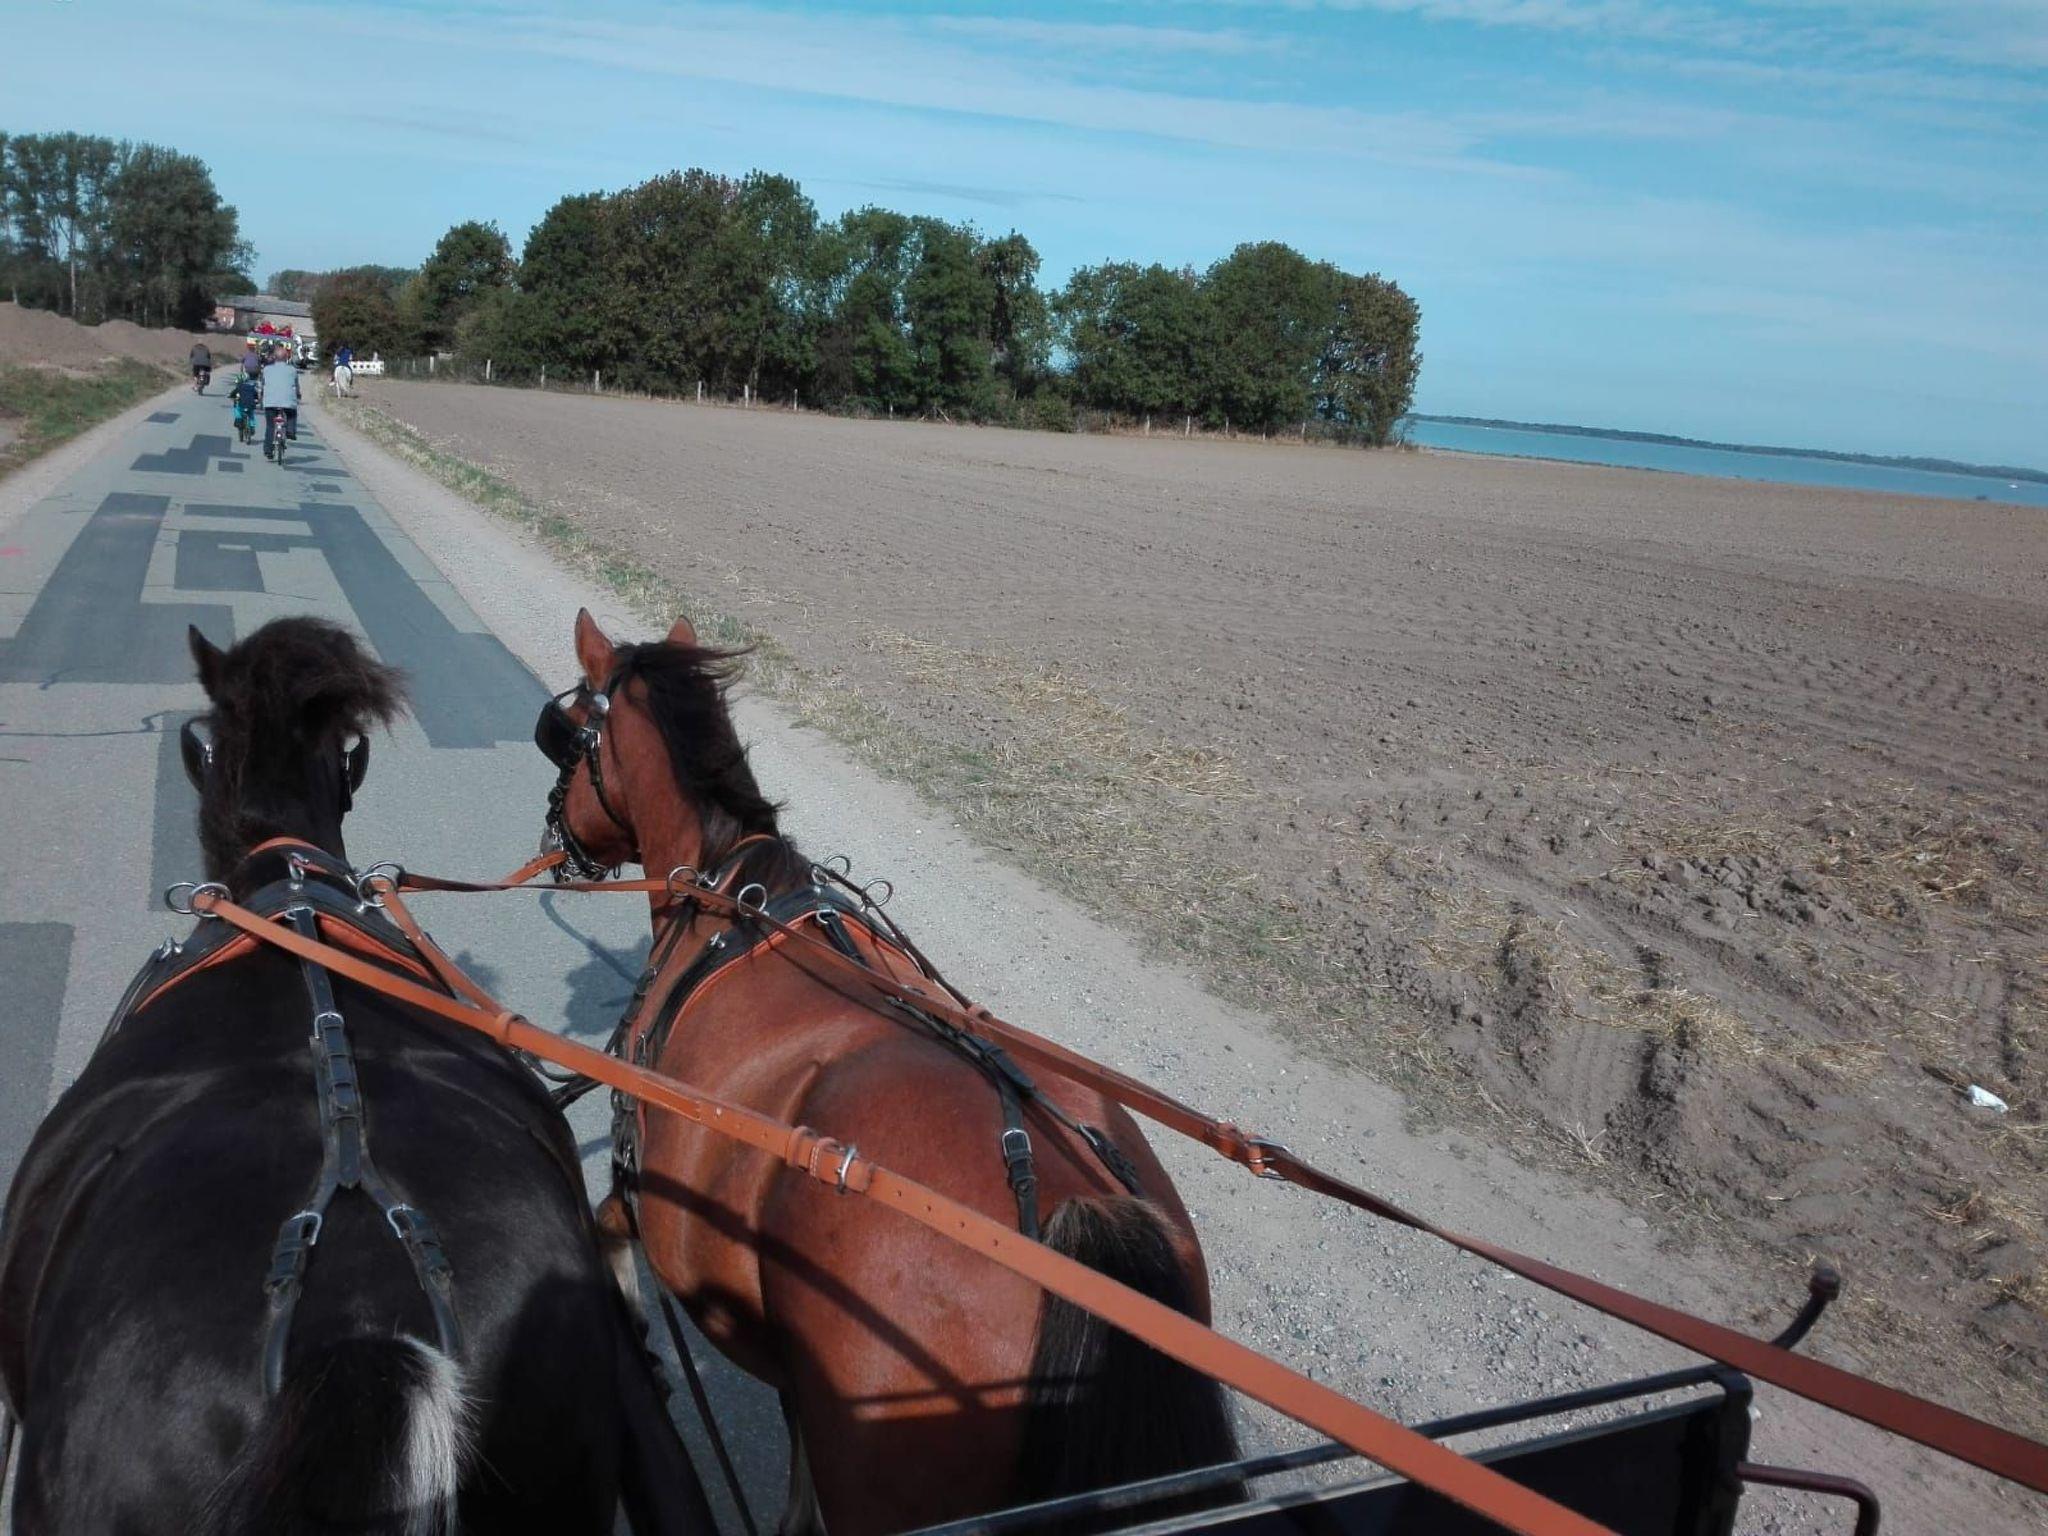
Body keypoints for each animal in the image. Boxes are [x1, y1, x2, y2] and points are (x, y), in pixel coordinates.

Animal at [536, 609, 1240, 1536]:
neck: (730, 891)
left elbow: (606, 1229)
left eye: (566, 730)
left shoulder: (644, 1177)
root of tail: (1075, 1222)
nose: (554, 837)